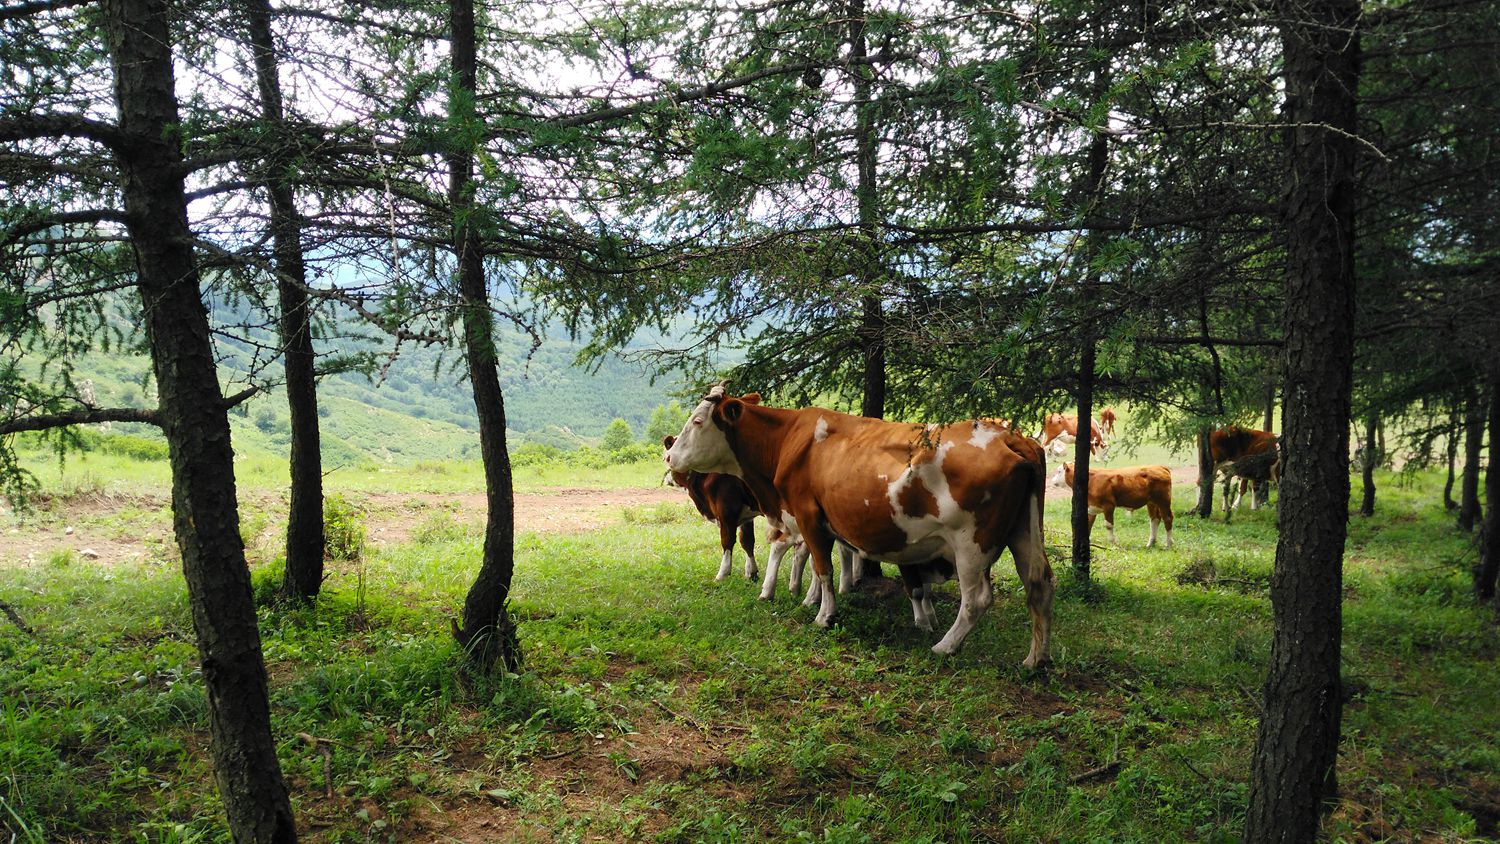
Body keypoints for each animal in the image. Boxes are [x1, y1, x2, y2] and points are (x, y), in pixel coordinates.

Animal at [669, 386, 1056, 671]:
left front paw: (824, 616)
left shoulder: (808, 516)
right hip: (1024, 532)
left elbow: (822, 569)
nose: (669, 456)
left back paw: (945, 646)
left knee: (977, 599)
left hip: (971, 543)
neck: (786, 441)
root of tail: (1010, 436)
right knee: (1039, 584)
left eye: (698, 421)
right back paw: (1035, 658)